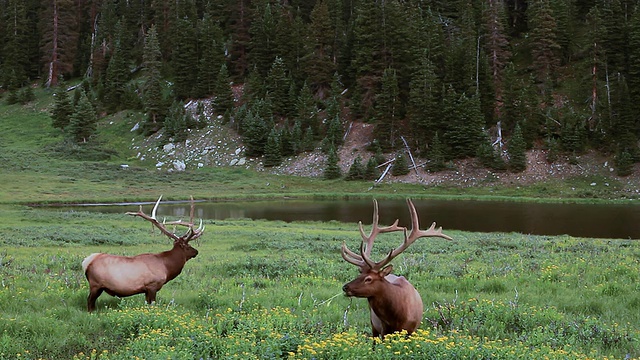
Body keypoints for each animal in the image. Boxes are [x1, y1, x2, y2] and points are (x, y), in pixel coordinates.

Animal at [342, 198, 452, 338]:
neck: (398, 316)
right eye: (359, 274)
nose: (345, 287)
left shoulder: (411, 330)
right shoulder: (384, 329)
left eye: (368, 279)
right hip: (373, 324)